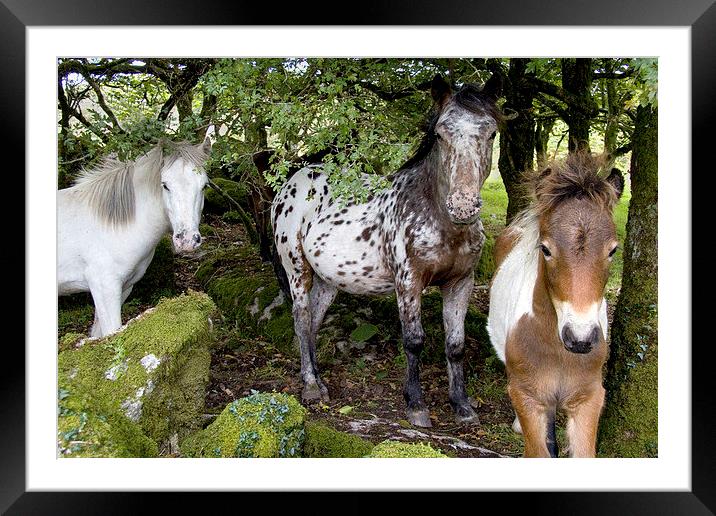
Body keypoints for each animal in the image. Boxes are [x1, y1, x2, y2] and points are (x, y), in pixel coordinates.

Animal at [59, 137, 211, 338]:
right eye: (165, 185)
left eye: (204, 186)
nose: (187, 240)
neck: (112, 226)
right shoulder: (105, 288)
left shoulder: (123, 288)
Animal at [270, 73, 504, 428]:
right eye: (440, 134)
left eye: (491, 132)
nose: (463, 206)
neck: (439, 219)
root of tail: (293, 181)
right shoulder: (408, 281)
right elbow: (414, 340)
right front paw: (416, 405)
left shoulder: (461, 283)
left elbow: (455, 344)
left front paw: (462, 406)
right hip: (296, 268)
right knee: (301, 318)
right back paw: (310, 386)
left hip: (328, 280)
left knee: (313, 323)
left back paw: (319, 381)